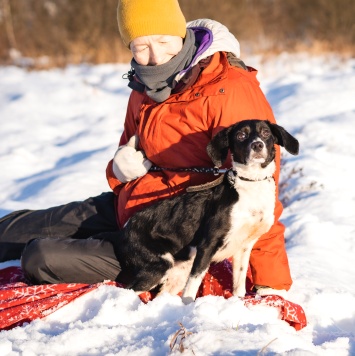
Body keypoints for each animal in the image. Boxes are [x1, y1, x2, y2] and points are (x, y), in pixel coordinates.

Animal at [109, 119, 300, 304]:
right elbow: (192, 288)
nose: (258, 145)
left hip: (178, 270)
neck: (251, 184)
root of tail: (125, 228)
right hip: (157, 265)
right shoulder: (207, 245)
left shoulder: (244, 247)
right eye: (241, 135)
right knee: (127, 290)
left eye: (266, 133)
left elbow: (239, 285)